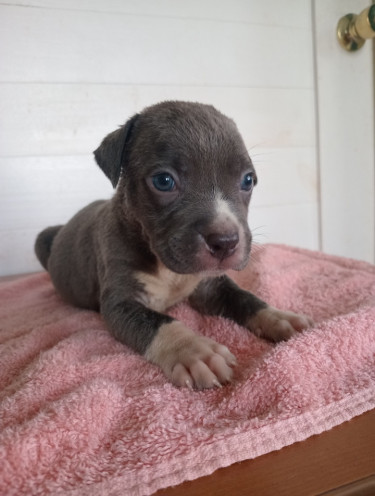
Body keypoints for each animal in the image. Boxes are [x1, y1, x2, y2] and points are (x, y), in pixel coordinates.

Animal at [35, 102, 312, 392]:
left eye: (248, 181)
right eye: (164, 181)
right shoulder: (120, 303)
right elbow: (160, 322)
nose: (226, 242)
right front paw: (194, 350)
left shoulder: (210, 286)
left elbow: (244, 297)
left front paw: (278, 316)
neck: (167, 267)